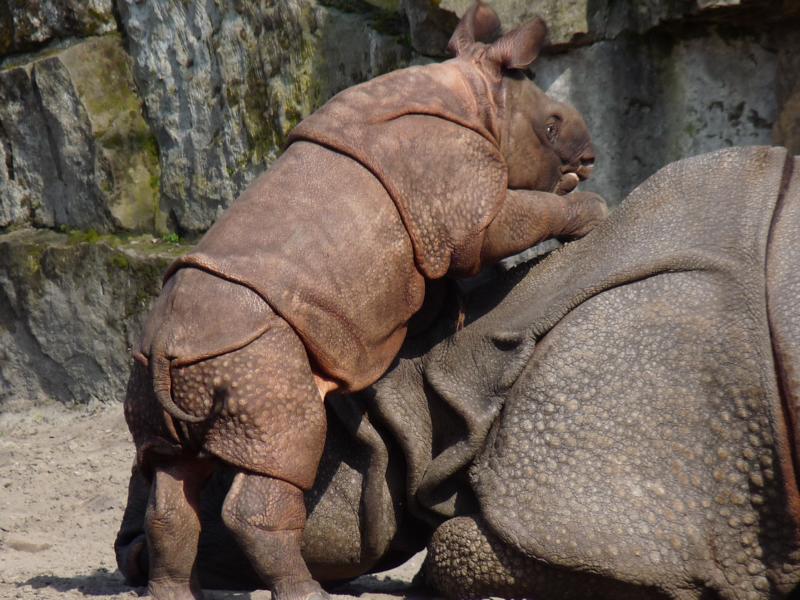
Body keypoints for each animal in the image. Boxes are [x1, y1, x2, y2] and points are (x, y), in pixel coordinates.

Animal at [123, 2, 607, 599]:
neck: (478, 98)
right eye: (552, 124)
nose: (590, 157)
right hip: (253, 359)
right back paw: (308, 592)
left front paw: (453, 318)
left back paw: (173, 589)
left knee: (171, 473)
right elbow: (518, 219)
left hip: (163, 366)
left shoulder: (428, 236)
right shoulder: (465, 202)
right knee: (284, 450)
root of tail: (166, 351)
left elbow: (434, 297)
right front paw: (594, 212)